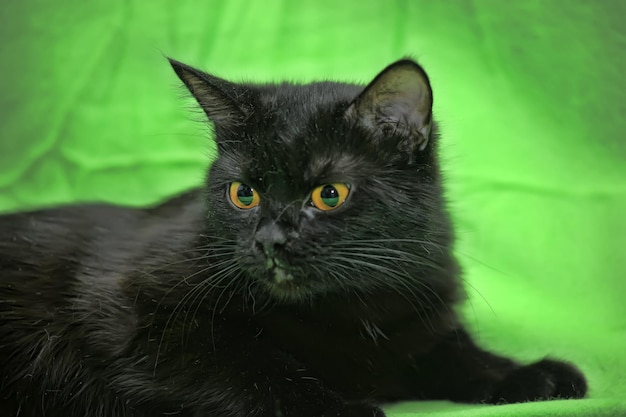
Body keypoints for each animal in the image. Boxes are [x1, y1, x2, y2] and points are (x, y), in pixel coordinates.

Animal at [0, 57, 584, 414]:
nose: (269, 241)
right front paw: (341, 407)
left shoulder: (418, 317)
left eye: (329, 194)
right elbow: (249, 363)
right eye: (243, 194)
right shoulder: (131, 316)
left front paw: (533, 376)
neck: (348, 308)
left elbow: (455, 354)